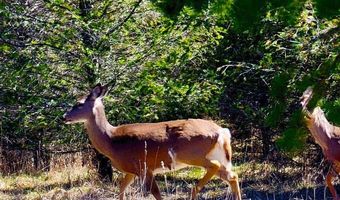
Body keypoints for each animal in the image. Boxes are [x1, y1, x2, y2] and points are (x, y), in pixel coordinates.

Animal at [61, 83, 242, 200]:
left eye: (78, 104)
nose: (64, 117)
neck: (111, 140)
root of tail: (221, 131)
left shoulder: (144, 167)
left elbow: (156, 194)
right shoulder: (131, 170)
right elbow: (122, 188)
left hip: (192, 153)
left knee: (216, 168)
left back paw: (193, 191)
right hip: (216, 156)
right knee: (232, 176)